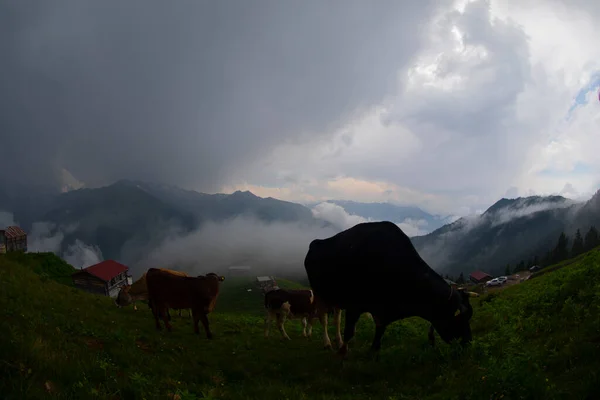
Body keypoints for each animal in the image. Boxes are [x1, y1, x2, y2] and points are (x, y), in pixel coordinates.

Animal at [304, 220, 478, 358]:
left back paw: (338, 341)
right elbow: (350, 330)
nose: (469, 342)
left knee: (336, 318)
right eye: (460, 318)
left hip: (337, 297)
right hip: (319, 293)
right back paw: (328, 343)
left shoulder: (384, 309)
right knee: (324, 319)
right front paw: (343, 353)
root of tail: (315, 243)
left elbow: (380, 330)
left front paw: (373, 350)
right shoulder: (355, 304)